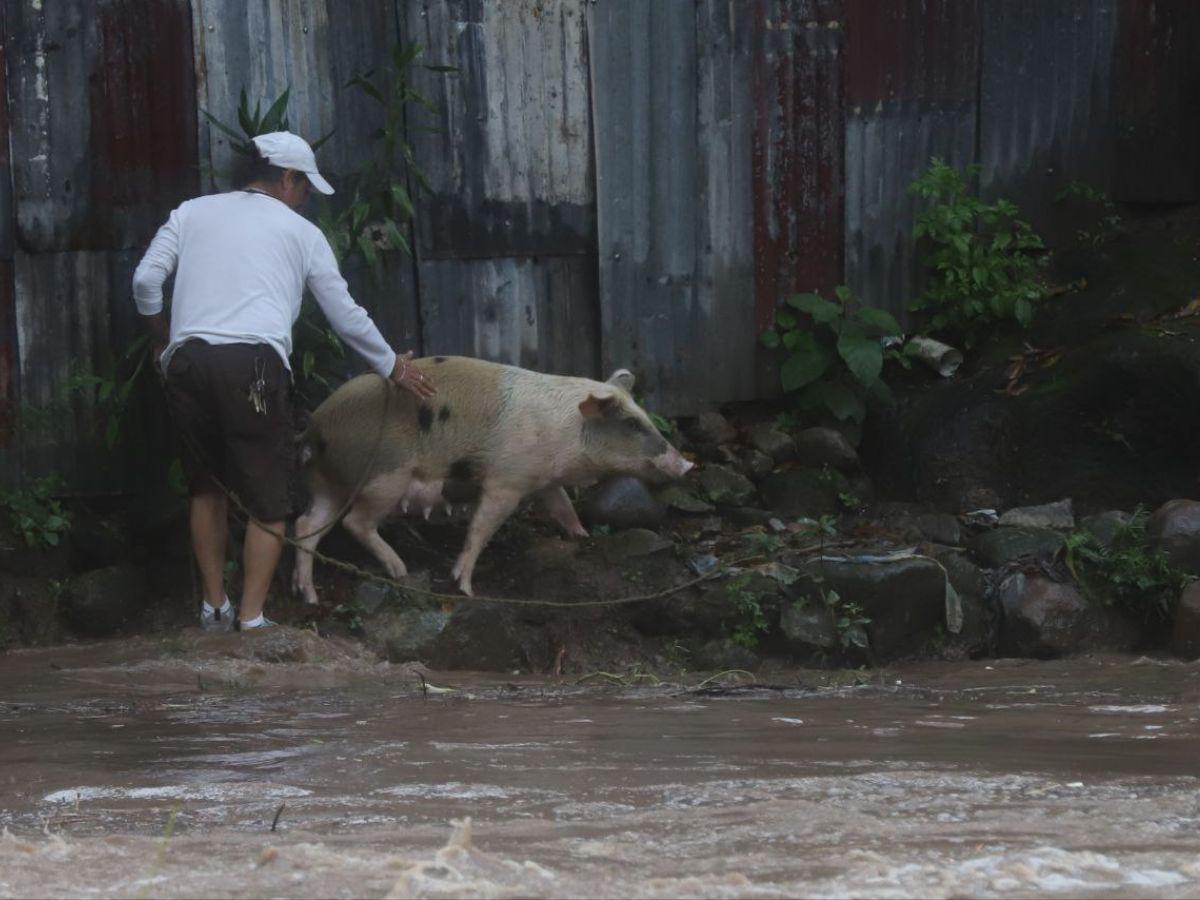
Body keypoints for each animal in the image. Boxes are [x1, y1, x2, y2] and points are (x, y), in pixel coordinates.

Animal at [286, 355, 696, 602]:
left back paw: (307, 594)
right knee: (356, 522)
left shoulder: (544, 479)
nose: (687, 465)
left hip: (328, 484)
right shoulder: (507, 481)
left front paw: (582, 536)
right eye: (631, 423)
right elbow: (481, 528)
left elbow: (563, 507)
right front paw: (466, 588)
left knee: (306, 525)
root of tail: (316, 425)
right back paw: (399, 570)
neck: (564, 432)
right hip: (385, 477)